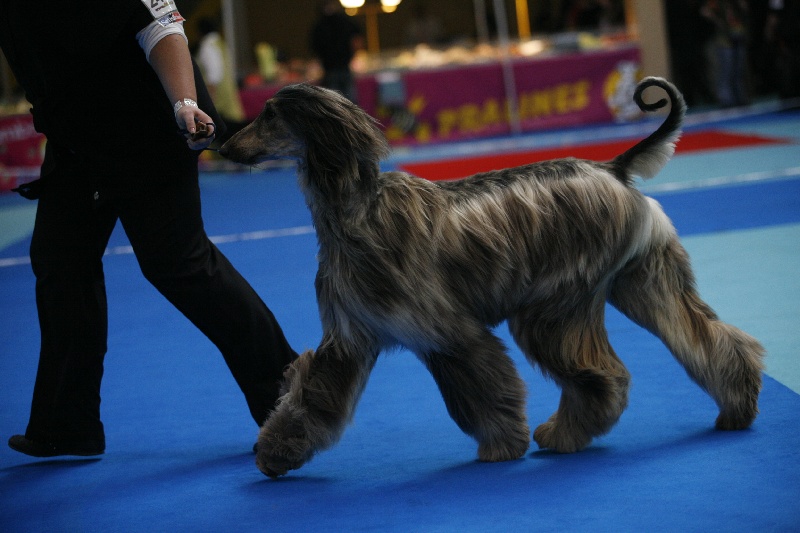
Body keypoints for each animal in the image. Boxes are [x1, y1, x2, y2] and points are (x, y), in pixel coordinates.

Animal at [220, 78, 764, 478]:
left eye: (270, 114)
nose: (221, 146)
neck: (355, 213)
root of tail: (612, 168)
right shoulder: (349, 337)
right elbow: (310, 397)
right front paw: (275, 452)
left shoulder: (446, 331)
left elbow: (483, 392)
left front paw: (503, 445)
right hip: (645, 279)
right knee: (709, 339)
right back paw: (737, 407)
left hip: (555, 305)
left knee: (605, 376)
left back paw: (561, 435)